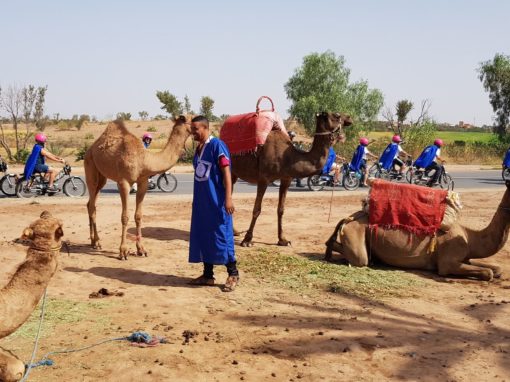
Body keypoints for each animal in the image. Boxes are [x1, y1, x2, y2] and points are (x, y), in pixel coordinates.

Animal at [84, 116, 192, 260]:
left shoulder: (143, 182)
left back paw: (93, 241)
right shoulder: (123, 182)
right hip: (90, 166)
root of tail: (89, 149)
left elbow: (138, 216)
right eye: (193, 119)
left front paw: (141, 249)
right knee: (92, 204)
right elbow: (125, 216)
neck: (144, 159)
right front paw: (123, 251)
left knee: (91, 203)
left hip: (102, 178)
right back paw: (97, 242)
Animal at [230, 112, 350, 246]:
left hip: (234, 173)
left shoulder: (286, 179)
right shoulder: (263, 179)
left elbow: (281, 209)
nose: (349, 119)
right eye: (337, 116)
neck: (287, 157)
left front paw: (283, 240)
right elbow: (257, 209)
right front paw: (247, 240)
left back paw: (235, 231)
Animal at [324, 182, 510, 280]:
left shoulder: (466, 256)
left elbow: (497, 269)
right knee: (359, 258)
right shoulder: (448, 262)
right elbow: (488, 273)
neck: (470, 238)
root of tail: (349, 217)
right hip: (356, 232)